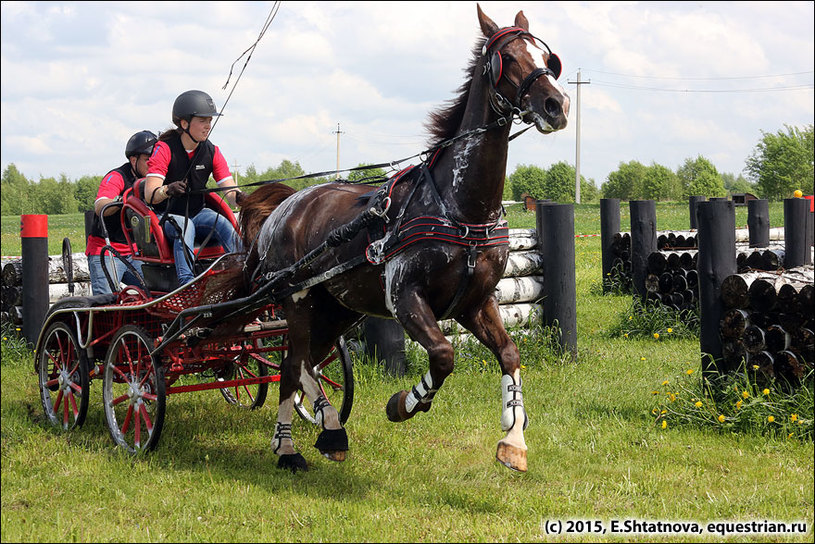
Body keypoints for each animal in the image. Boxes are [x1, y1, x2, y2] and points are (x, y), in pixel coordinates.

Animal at [230, 5, 568, 472]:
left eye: (547, 57)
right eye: (509, 58)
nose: (557, 104)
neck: (457, 207)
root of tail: (285, 207)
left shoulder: (476, 302)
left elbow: (509, 353)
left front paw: (514, 438)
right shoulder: (405, 297)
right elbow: (443, 355)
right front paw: (404, 404)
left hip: (338, 308)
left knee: (300, 365)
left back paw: (315, 435)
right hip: (297, 301)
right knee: (295, 363)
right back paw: (301, 441)